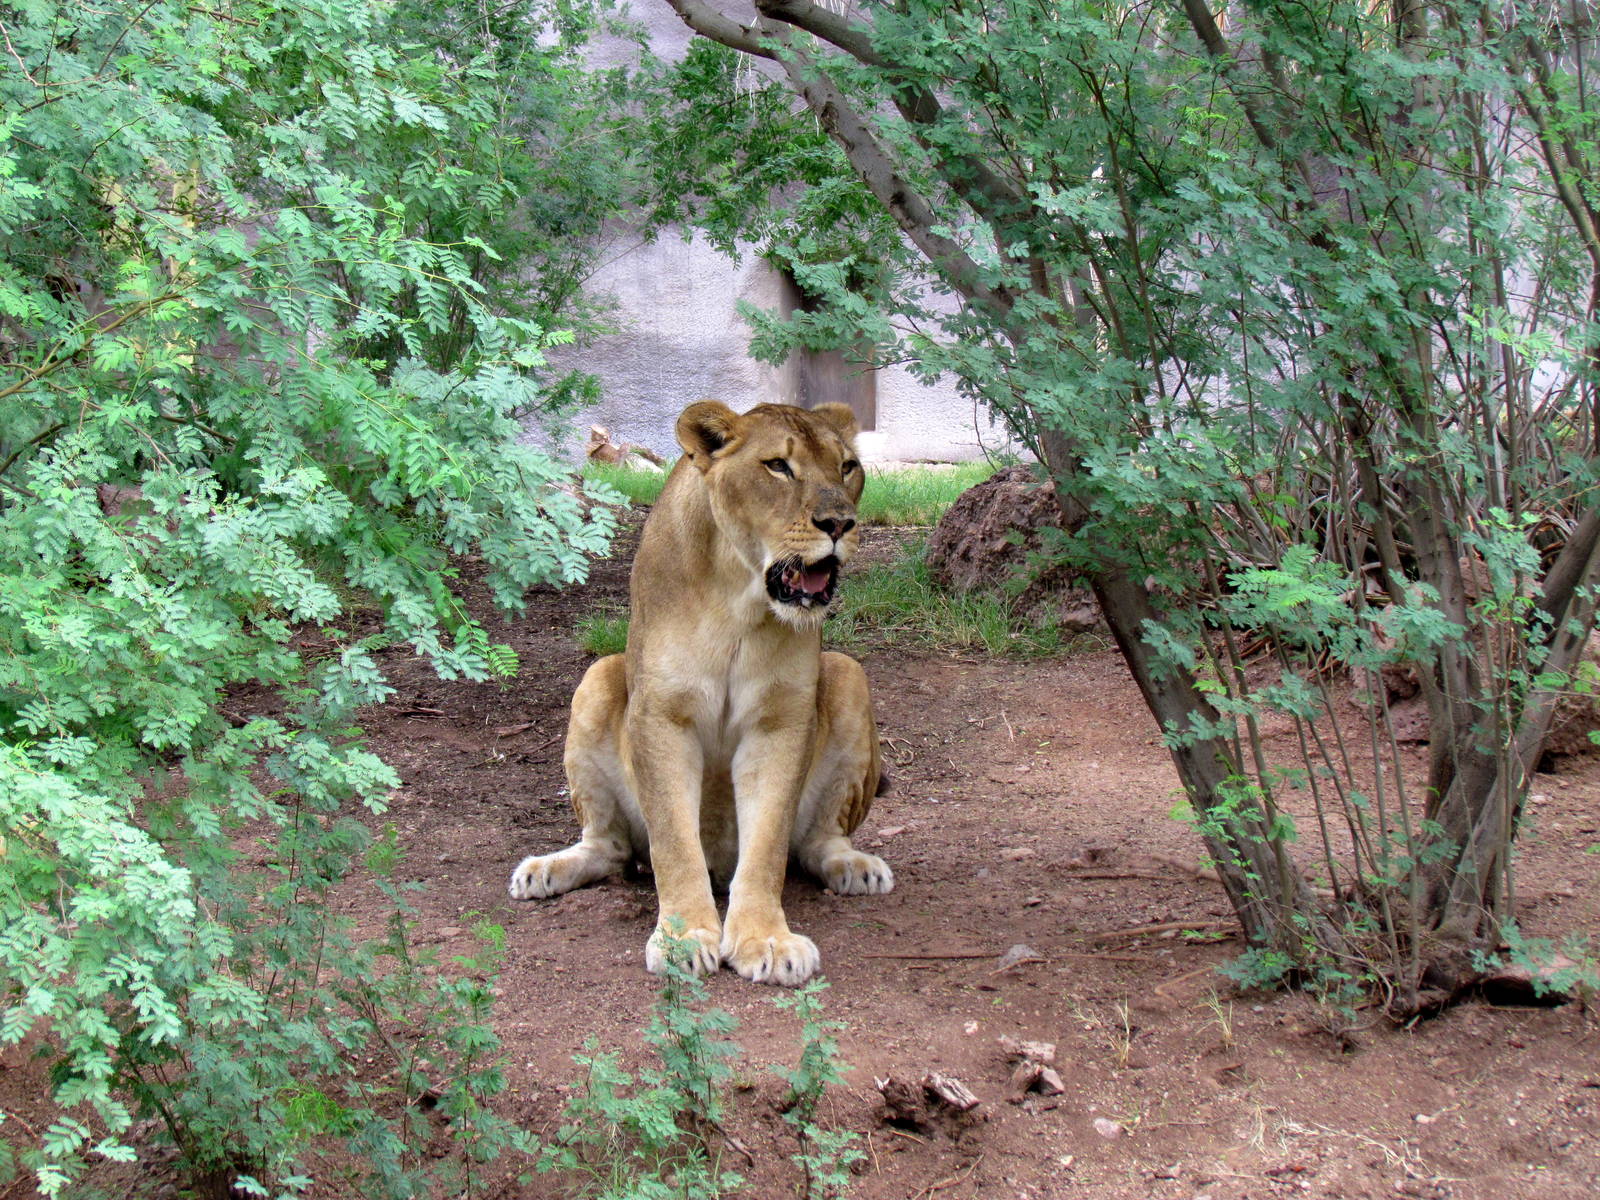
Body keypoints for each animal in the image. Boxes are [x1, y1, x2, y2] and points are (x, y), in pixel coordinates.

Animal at [508, 399, 893, 986]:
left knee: (816, 842)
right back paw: (544, 871)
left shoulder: (781, 720)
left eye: (847, 466)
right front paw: (683, 939)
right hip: (597, 678)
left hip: (849, 674)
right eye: (778, 466)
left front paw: (766, 940)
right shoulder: (661, 715)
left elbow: (767, 846)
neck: (740, 599)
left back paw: (857, 867)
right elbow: (673, 843)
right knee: (610, 847)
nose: (839, 524)